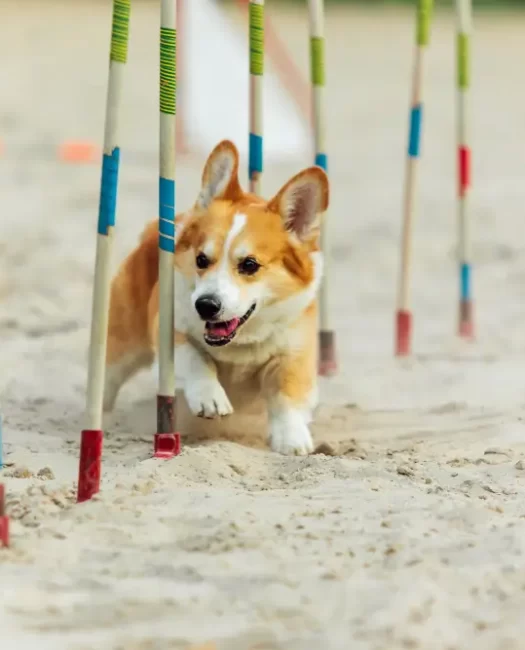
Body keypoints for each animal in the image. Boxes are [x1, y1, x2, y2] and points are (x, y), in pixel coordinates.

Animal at [102, 139, 328, 454]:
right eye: (201, 259)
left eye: (249, 265)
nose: (206, 306)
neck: (239, 344)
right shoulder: (169, 331)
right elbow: (196, 359)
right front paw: (210, 397)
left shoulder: (293, 354)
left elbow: (288, 394)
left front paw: (292, 439)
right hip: (122, 346)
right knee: (107, 382)